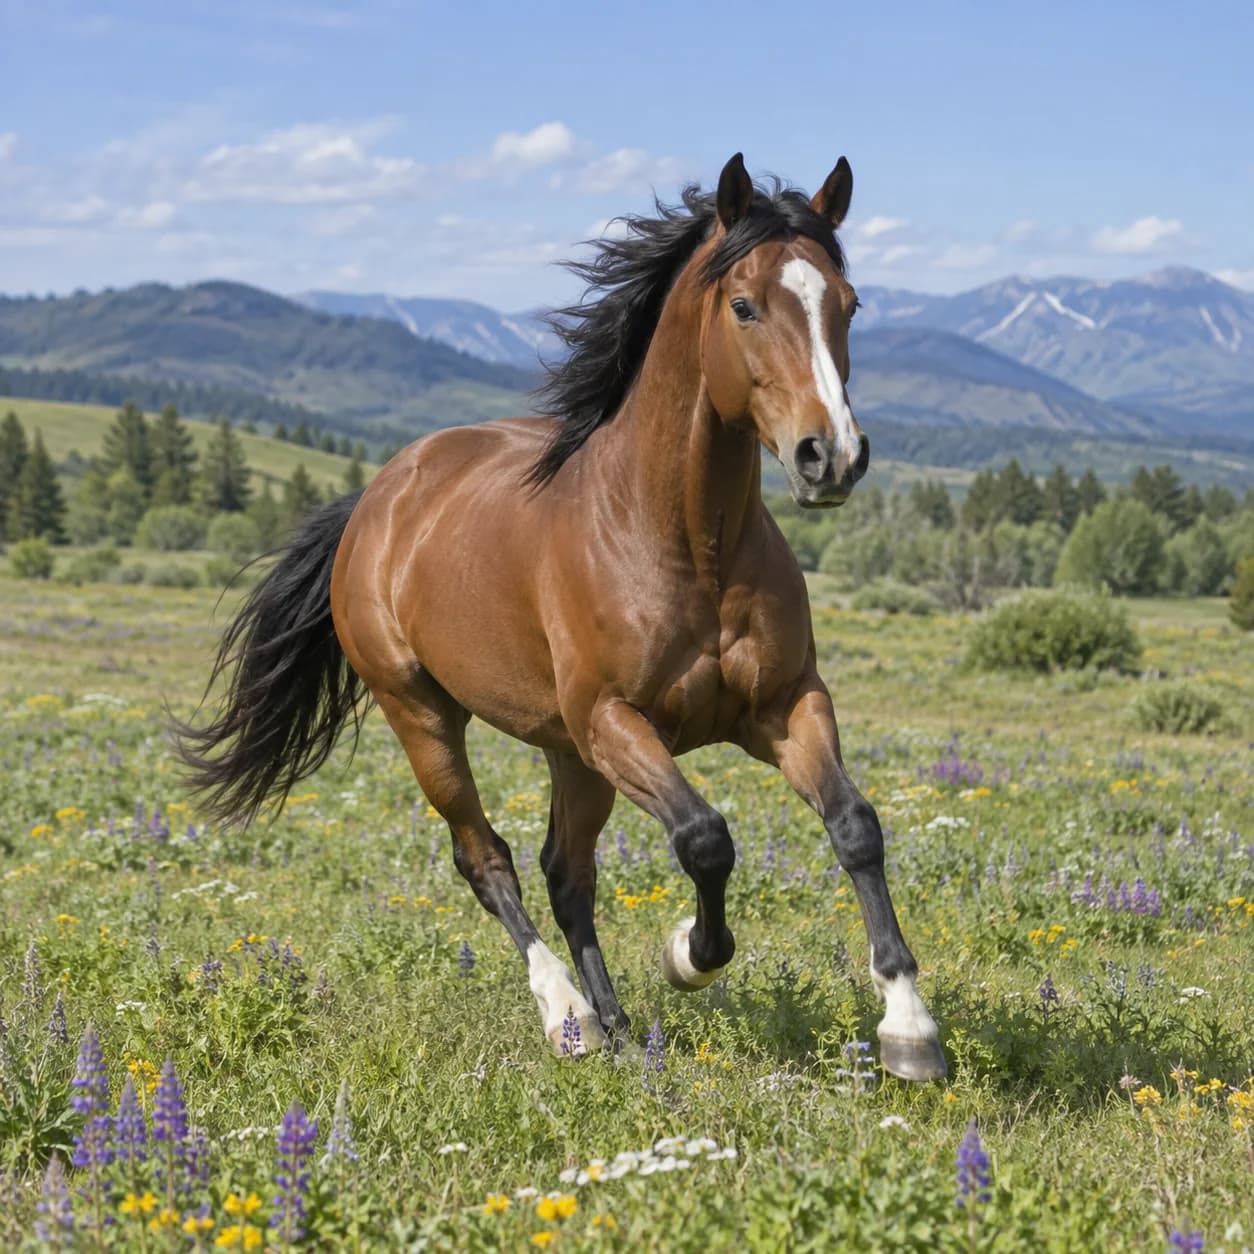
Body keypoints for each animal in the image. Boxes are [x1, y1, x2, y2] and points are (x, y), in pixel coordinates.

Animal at [177, 153, 946, 1082]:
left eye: (849, 303)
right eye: (745, 305)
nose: (830, 456)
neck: (682, 543)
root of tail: (380, 495)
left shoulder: (784, 704)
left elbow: (855, 826)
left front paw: (910, 1028)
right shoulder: (616, 721)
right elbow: (705, 839)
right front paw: (688, 953)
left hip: (566, 751)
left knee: (564, 872)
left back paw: (612, 1025)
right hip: (425, 716)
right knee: (488, 859)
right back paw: (566, 1013)